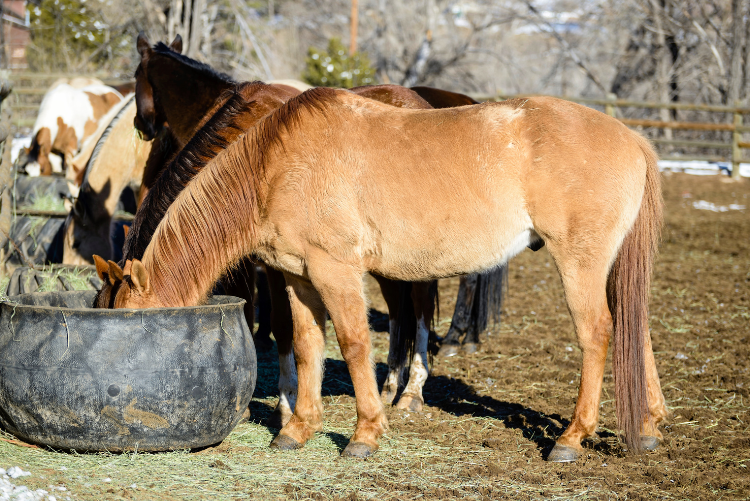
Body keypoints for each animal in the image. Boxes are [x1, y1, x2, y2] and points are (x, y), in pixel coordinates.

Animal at [106, 88, 667, 461]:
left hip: (580, 263)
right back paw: (647, 427)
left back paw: (572, 438)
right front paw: (297, 429)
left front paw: (365, 434)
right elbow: (308, 346)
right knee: (635, 330)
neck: (277, 166)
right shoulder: (298, 277)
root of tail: (631, 138)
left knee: (598, 334)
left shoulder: (335, 271)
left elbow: (354, 344)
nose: (125, 407)